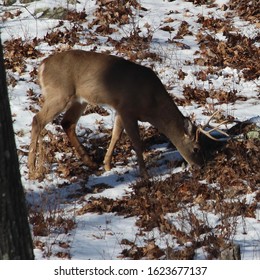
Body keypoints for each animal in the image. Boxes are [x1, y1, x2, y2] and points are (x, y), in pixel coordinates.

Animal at [28, 50, 217, 179]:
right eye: (196, 148)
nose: (201, 166)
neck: (151, 106)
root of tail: (42, 66)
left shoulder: (120, 109)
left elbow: (116, 135)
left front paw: (107, 165)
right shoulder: (127, 109)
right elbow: (136, 142)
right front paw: (144, 174)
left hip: (79, 100)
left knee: (67, 123)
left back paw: (90, 162)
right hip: (59, 94)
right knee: (37, 120)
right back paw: (32, 171)